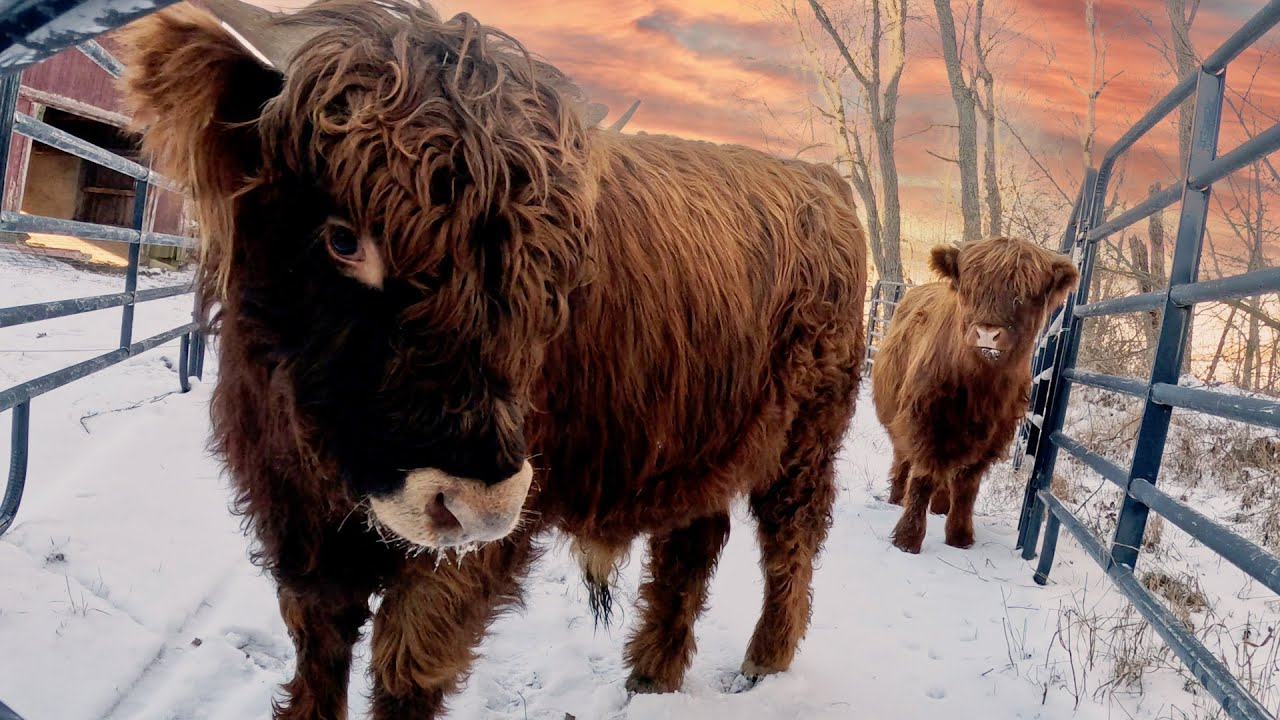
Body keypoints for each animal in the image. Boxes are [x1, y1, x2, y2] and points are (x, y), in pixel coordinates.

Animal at [116, 0, 868, 716]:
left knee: (791, 535)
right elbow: (317, 655)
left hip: (806, 433)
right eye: (343, 239)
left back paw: (763, 659)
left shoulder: (471, 553)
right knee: (693, 542)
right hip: (701, 439)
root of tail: (824, 182)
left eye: (548, 267)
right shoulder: (293, 519)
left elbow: (409, 667)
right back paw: (654, 672)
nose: (476, 500)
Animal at [871, 236, 1078, 555]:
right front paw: (908, 539)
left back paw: (940, 507)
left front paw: (960, 537)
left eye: (1022, 296)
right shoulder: (925, 422)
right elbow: (923, 478)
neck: (979, 389)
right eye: (970, 289)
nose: (987, 334)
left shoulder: (991, 438)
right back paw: (896, 496)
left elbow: (967, 487)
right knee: (903, 457)